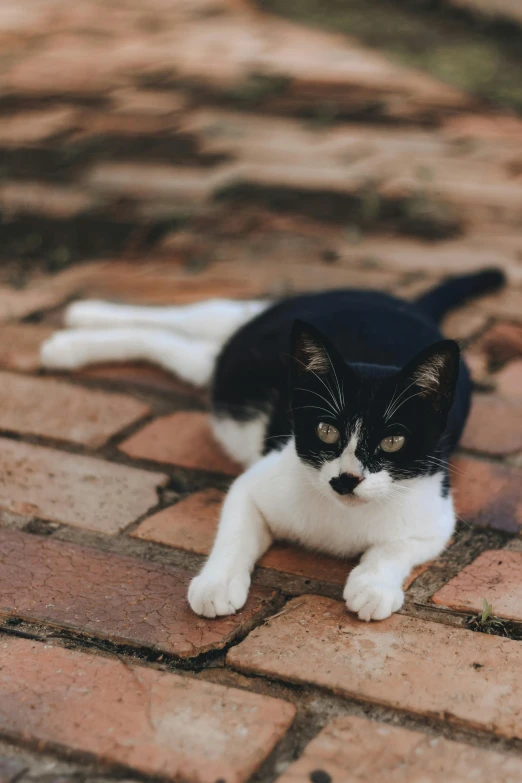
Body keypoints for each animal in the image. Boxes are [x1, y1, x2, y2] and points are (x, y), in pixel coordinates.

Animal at [41, 270, 504, 624]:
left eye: (393, 441)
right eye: (326, 431)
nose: (346, 479)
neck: (341, 516)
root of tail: (405, 305)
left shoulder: (435, 514)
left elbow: (396, 547)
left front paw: (372, 585)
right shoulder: (257, 481)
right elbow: (235, 531)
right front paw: (218, 582)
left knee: (186, 347)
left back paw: (75, 334)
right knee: (203, 317)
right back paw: (78, 325)